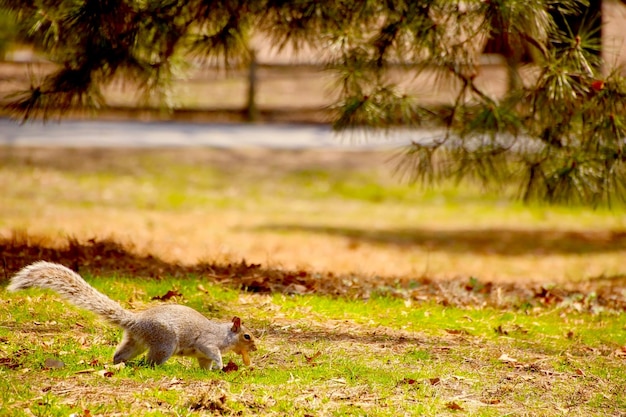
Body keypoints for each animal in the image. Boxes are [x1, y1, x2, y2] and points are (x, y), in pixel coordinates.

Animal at [7, 258, 256, 368]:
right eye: (247, 335)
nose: (254, 348)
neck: (224, 334)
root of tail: (136, 321)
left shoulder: (202, 355)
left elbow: (204, 363)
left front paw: (210, 372)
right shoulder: (208, 343)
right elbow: (212, 352)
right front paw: (221, 366)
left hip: (134, 342)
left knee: (121, 354)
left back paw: (119, 364)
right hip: (164, 342)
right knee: (151, 362)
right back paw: (156, 367)